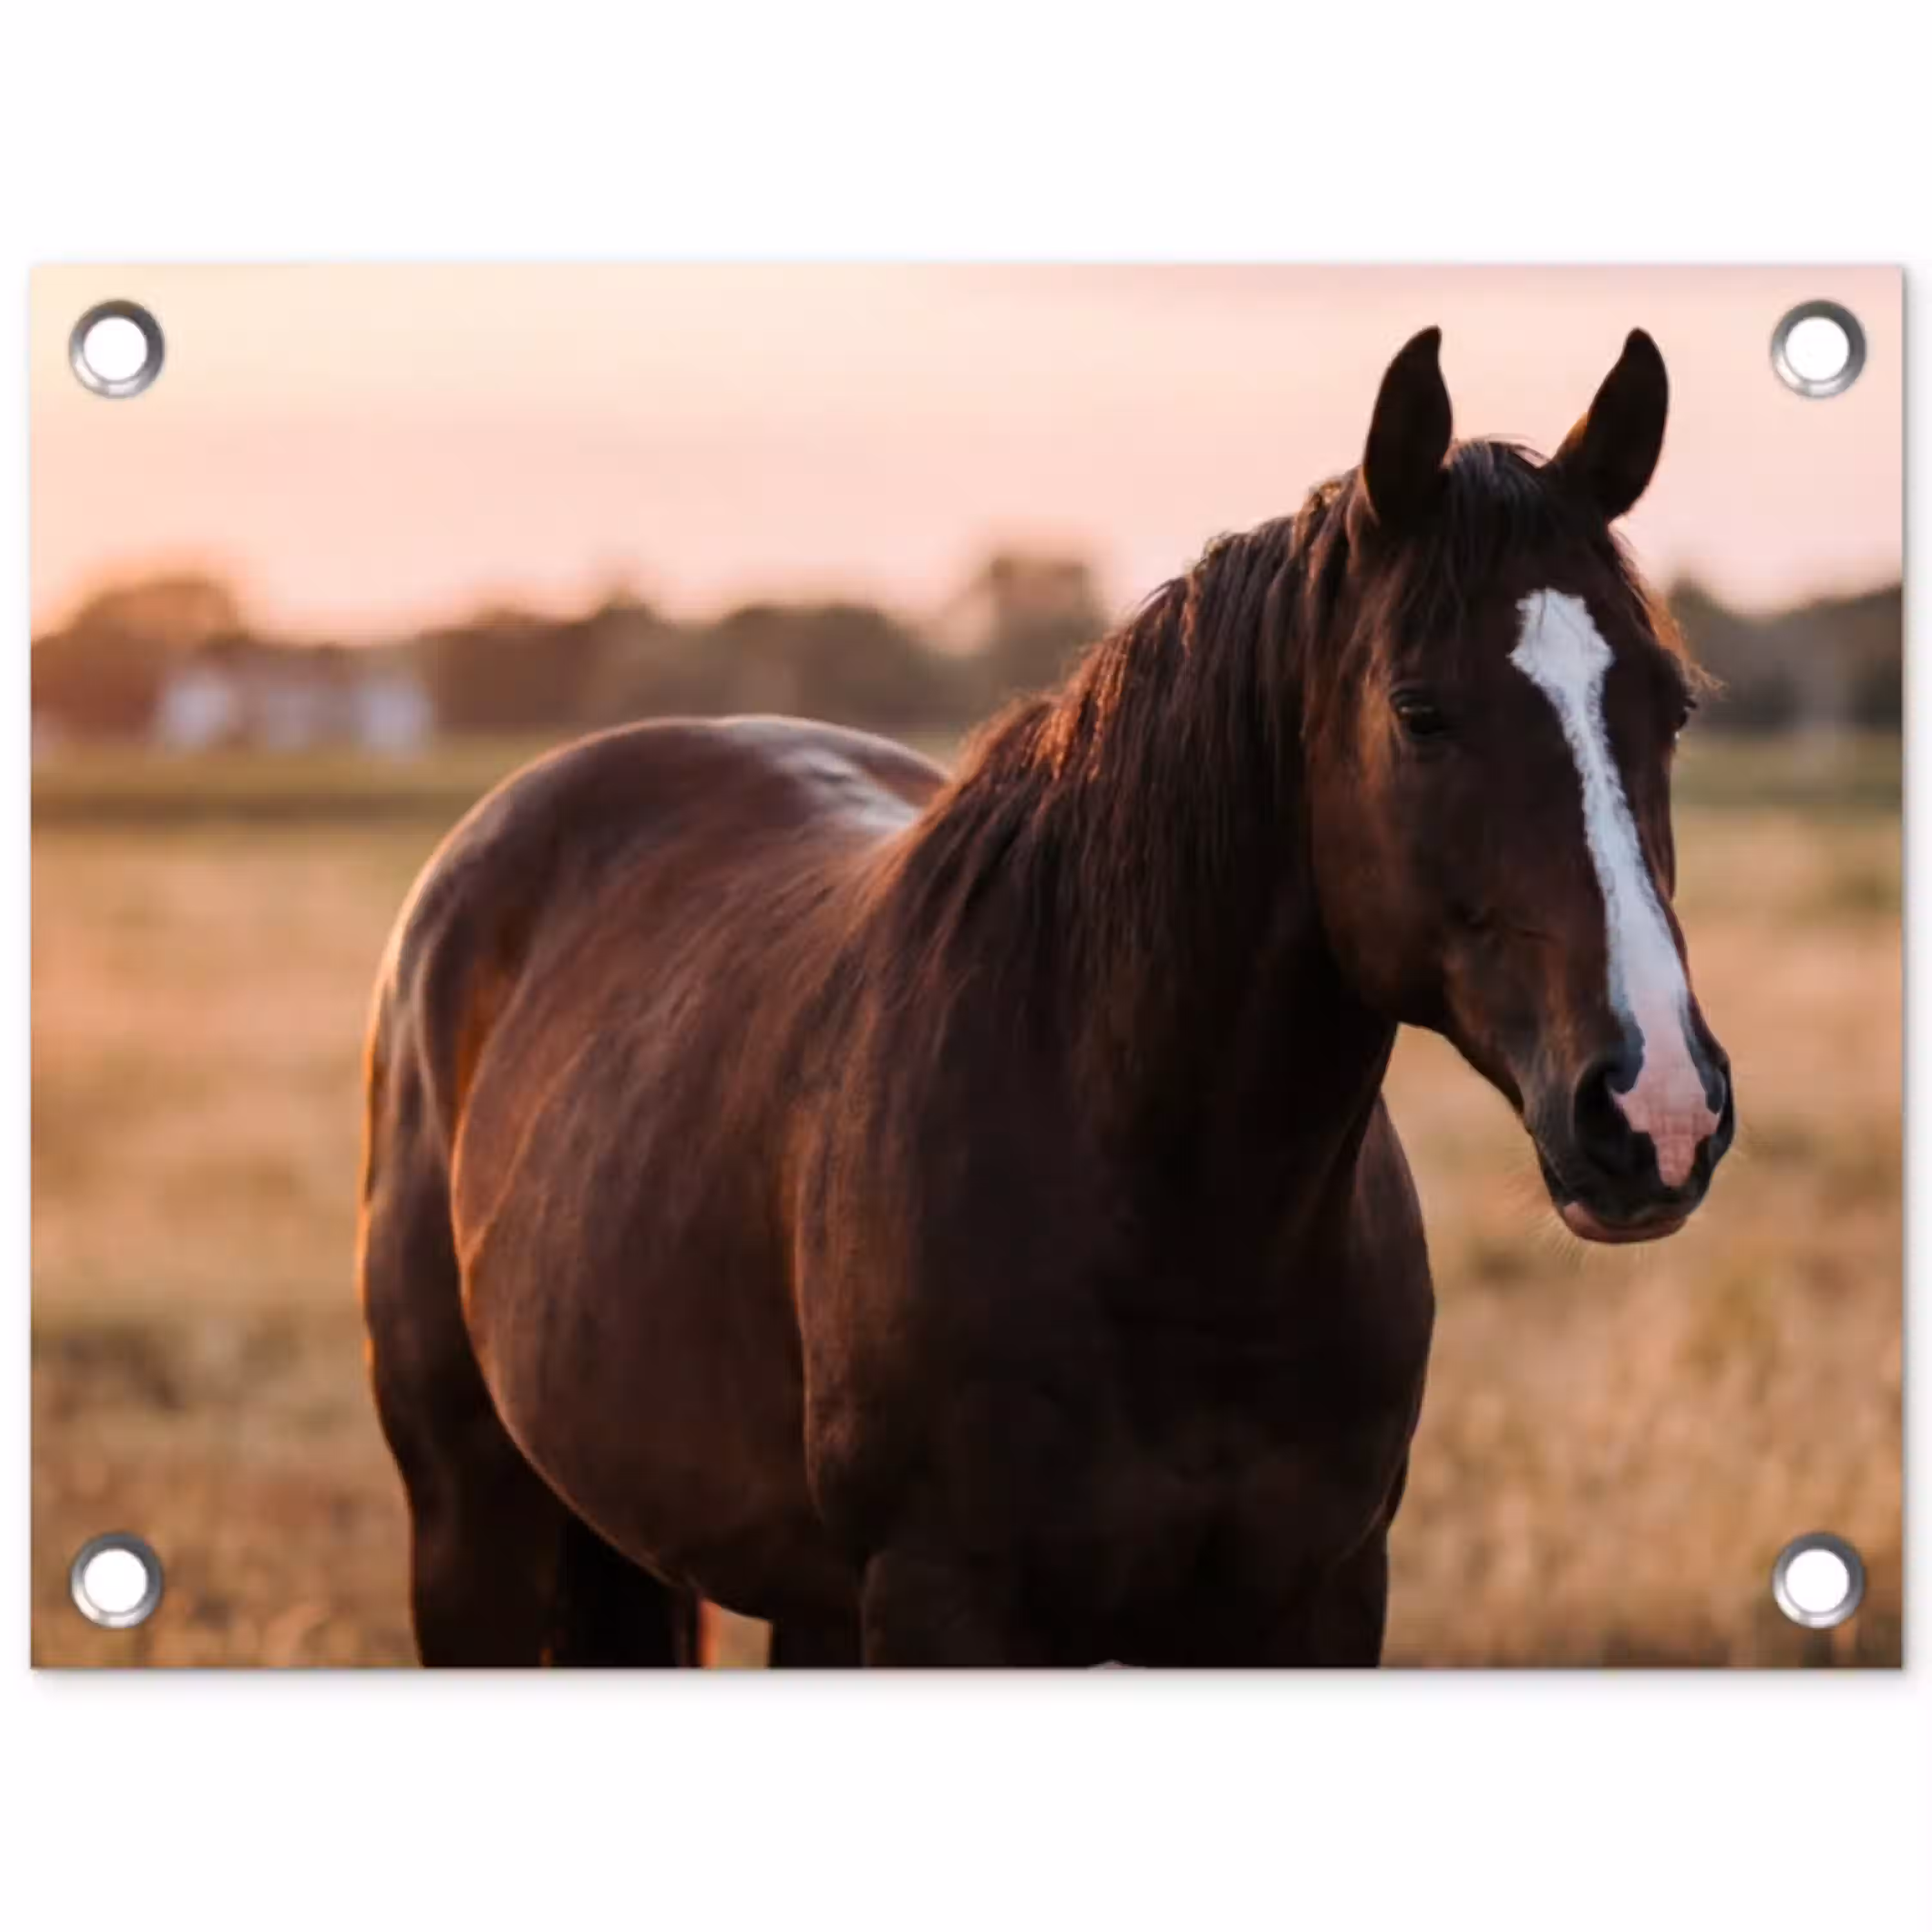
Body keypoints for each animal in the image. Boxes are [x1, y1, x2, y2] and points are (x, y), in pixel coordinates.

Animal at [358, 326, 1734, 1667]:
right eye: (1420, 712)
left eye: (1671, 705)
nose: (1657, 1110)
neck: (1175, 1221)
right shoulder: (944, 1604)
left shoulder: (1320, 1601)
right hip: (470, 1532)